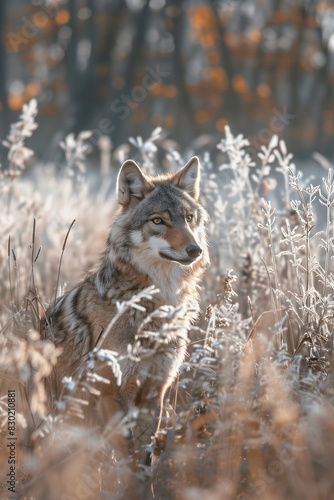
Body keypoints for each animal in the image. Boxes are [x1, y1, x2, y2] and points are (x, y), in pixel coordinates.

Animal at [43, 157, 209, 464]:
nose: (195, 250)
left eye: (189, 218)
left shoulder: (155, 392)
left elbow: (145, 459)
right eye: (158, 221)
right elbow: (126, 459)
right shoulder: (111, 393)